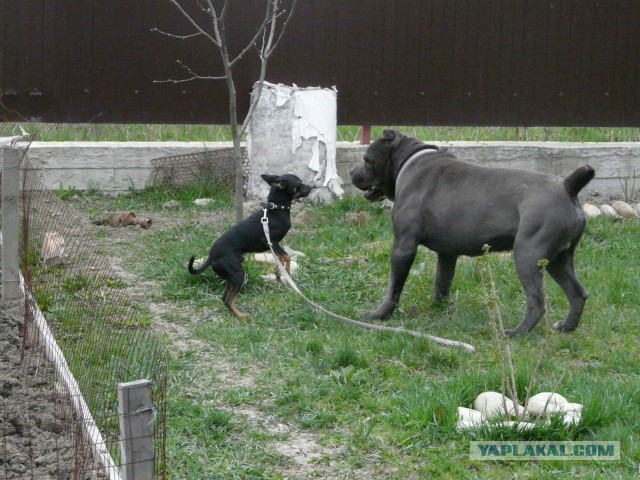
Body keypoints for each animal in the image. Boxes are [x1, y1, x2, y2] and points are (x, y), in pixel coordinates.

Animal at [188, 174, 312, 316]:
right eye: (299, 184)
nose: (311, 187)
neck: (275, 209)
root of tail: (211, 257)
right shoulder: (270, 241)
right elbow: (287, 257)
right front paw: (287, 272)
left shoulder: (274, 245)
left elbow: (280, 258)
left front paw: (279, 272)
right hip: (239, 275)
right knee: (228, 300)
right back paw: (241, 315)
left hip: (232, 277)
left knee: (224, 298)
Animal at [350, 129, 596, 336]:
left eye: (366, 159)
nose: (352, 171)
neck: (410, 160)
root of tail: (567, 186)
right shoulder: (447, 254)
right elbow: (442, 282)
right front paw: (439, 309)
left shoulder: (403, 246)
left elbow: (394, 287)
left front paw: (380, 315)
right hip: (557, 259)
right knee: (578, 293)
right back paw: (567, 326)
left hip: (528, 256)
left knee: (537, 303)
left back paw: (516, 333)